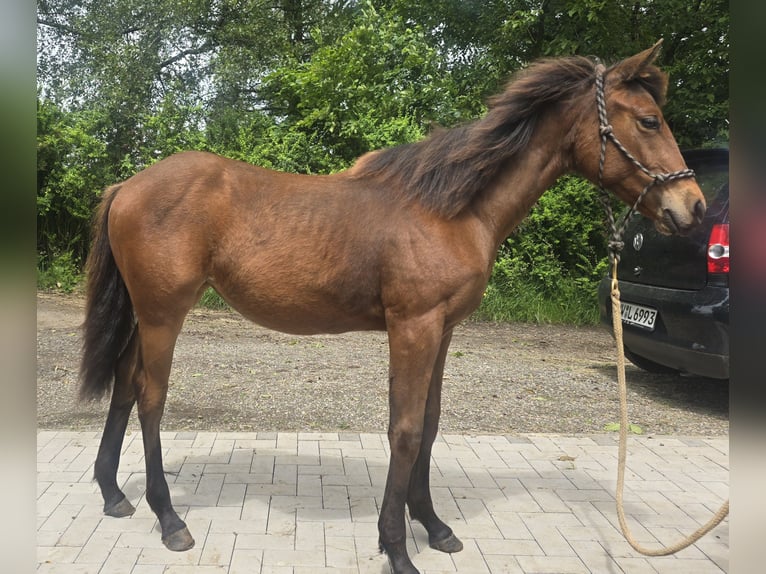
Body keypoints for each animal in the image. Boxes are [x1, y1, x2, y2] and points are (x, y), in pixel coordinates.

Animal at [79, 41, 708, 574]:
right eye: (648, 121)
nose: (693, 207)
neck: (451, 208)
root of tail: (127, 186)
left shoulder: (443, 330)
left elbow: (429, 425)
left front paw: (434, 526)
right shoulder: (413, 327)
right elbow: (403, 430)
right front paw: (397, 548)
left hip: (146, 315)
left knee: (125, 384)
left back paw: (114, 495)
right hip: (164, 315)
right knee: (151, 399)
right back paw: (169, 520)